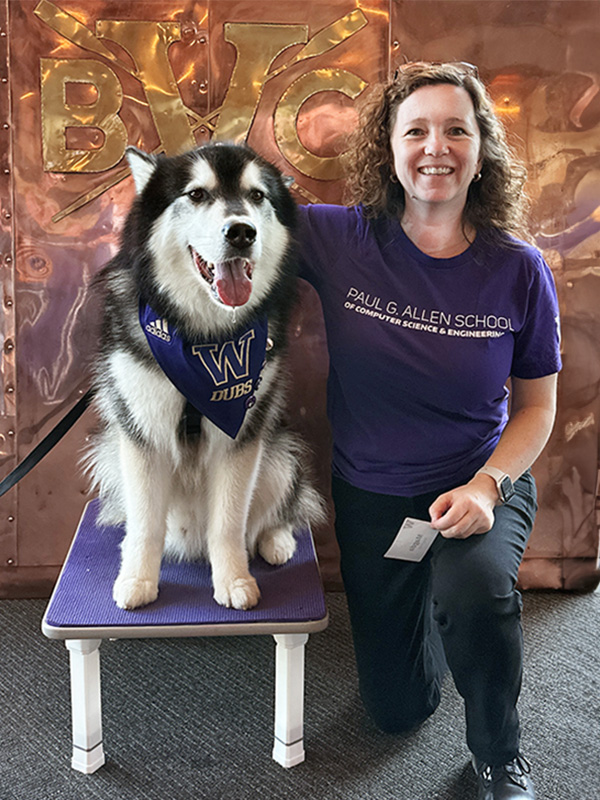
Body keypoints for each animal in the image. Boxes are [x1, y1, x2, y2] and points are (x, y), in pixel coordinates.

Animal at [85, 144, 324, 608]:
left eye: (257, 196)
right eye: (196, 194)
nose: (242, 232)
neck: (204, 338)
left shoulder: (241, 435)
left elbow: (230, 522)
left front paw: (234, 581)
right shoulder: (141, 433)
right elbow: (145, 522)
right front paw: (138, 579)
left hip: (280, 453)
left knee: (277, 509)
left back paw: (276, 539)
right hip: (111, 451)